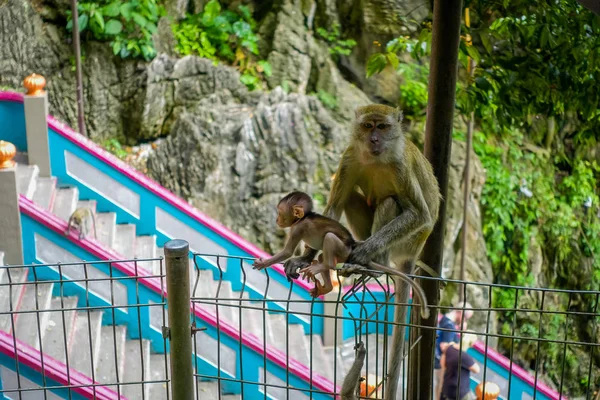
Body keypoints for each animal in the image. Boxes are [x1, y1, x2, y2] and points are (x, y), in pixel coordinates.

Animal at [253, 191, 432, 318]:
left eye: (280, 212)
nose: (277, 220)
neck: (303, 218)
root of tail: (352, 247)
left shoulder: (297, 228)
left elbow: (288, 251)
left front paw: (264, 262)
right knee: (321, 257)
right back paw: (326, 284)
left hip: (342, 249)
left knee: (329, 239)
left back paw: (325, 266)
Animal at [282, 104, 440, 400]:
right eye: (368, 126)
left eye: (383, 127)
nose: (374, 140)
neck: (376, 157)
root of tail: (412, 255)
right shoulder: (349, 158)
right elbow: (335, 205)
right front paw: (305, 257)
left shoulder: (400, 166)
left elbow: (419, 213)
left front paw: (364, 251)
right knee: (352, 198)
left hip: (406, 242)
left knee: (391, 203)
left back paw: (371, 260)